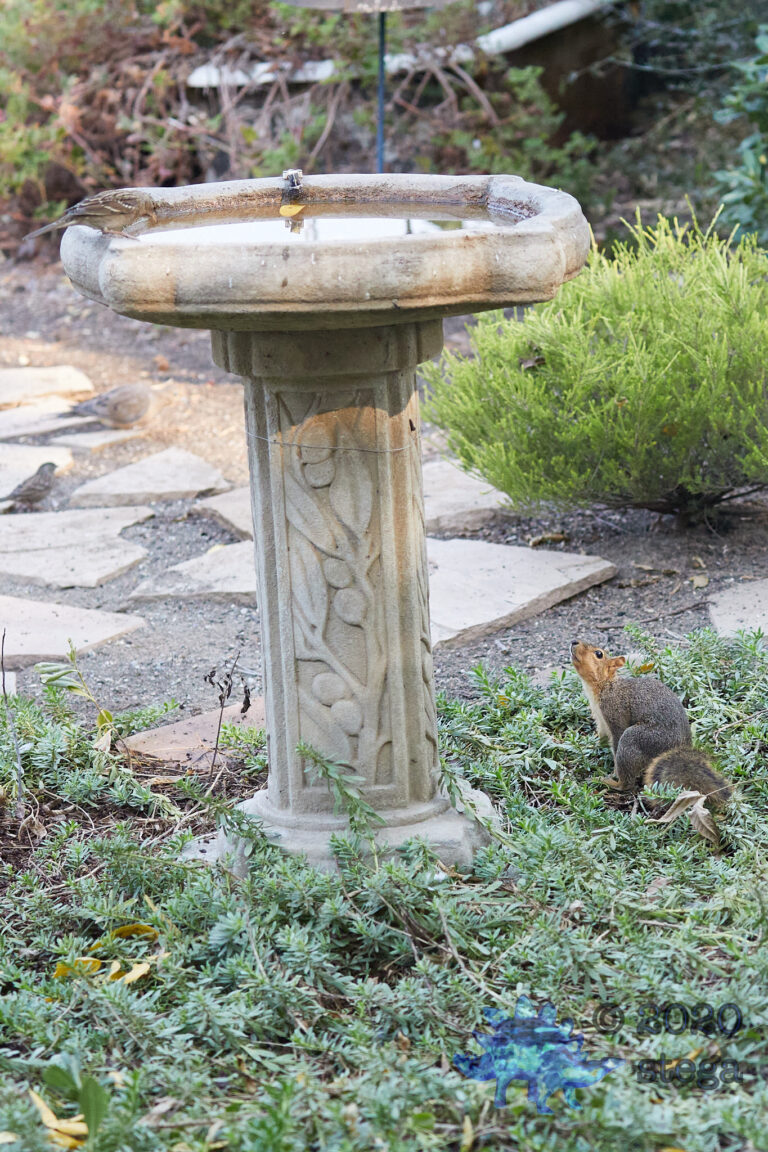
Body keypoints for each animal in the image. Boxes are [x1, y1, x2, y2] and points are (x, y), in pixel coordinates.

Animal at [570, 640, 732, 809]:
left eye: (599, 654)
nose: (574, 642)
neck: (604, 686)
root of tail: (677, 747)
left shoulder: (615, 712)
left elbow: (616, 740)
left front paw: (613, 771)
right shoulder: (600, 721)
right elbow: (600, 738)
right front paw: (586, 746)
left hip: (638, 739)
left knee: (627, 783)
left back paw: (609, 782)